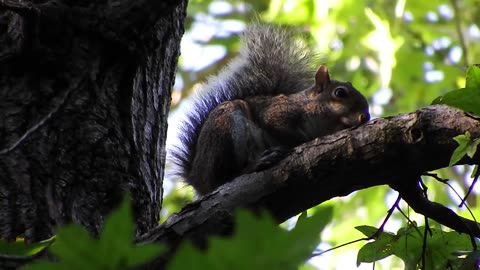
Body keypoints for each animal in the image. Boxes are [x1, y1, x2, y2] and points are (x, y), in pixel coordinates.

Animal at [171, 24, 370, 195]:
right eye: (340, 92)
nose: (365, 117)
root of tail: (197, 179)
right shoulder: (280, 110)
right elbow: (276, 124)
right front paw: (302, 141)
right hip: (224, 127)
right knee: (224, 178)